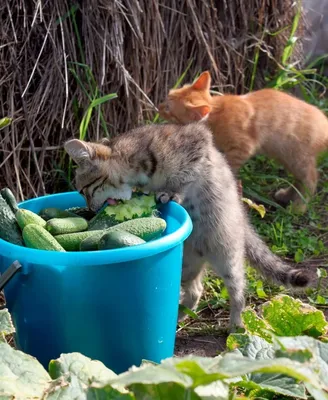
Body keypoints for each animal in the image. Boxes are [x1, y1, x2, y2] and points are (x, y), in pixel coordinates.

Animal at [64, 123, 312, 330]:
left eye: (83, 190)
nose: (91, 211)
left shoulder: (199, 142)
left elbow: (184, 177)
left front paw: (172, 191)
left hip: (226, 256)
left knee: (239, 290)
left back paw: (236, 325)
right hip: (185, 266)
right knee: (196, 291)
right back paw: (179, 316)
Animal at [158, 71, 328, 212]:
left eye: (168, 108)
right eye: (167, 95)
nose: (158, 106)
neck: (215, 114)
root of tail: (324, 123)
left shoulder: (242, 148)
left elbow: (229, 165)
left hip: (298, 158)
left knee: (311, 179)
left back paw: (299, 207)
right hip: (287, 157)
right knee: (299, 180)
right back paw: (286, 196)